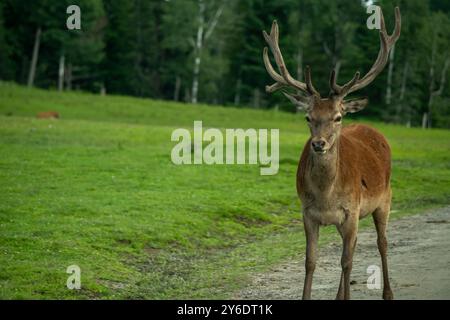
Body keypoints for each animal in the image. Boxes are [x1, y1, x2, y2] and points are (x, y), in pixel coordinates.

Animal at [264, 6, 400, 298]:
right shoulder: (308, 213)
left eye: (337, 117)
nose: (318, 144)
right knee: (357, 245)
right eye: (308, 117)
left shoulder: (351, 211)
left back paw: (388, 292)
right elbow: (310, 261)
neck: (326, 195)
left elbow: (346, 262)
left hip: (384, 198)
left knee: (382, 242)